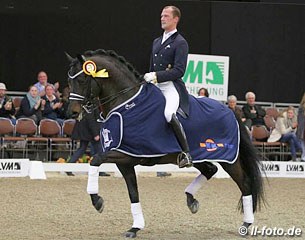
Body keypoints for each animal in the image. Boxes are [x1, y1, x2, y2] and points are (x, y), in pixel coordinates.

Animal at [66, 49, 264, 238]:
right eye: (69, 81)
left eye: (82, 79)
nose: (72, 113)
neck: (126, 104)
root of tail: (230, 110)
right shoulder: (125, 161)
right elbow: (133, 193)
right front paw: (135, 227)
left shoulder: (124, 153)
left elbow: (95, 160)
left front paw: (97, 201)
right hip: (199, 156)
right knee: (210, 170)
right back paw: (191, 200)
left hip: (229, 159)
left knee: (245, 184)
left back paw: (246, 224)